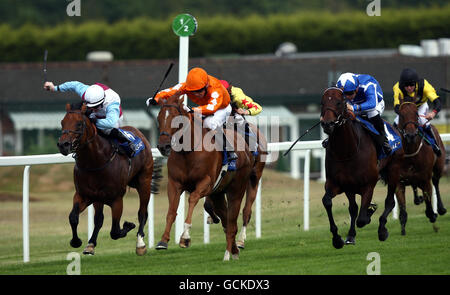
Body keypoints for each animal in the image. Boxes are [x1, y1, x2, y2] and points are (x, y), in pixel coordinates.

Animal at [57, 103, 160, 256]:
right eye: (62, 122)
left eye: (79, 124)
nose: (63, 145)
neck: (96, 161)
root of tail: (139, 133)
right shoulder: (85, 195)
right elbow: (74, 217)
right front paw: (77, 242)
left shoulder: (117, 199)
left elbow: (115, 231)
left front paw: (128, 225)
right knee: (99, 219)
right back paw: (91, 243)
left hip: (144, 182)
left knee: (142, 213)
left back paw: (140, 244)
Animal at [155, 95, 255, 262]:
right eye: (159, 118)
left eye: (176, 118)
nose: (163, 146)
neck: (188, 152)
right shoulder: (174, 184)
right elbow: (172, 210)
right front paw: (163, 240)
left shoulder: (206, 182)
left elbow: (193, 198)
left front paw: (185, 237)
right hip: (218, 194)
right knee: (227, 222)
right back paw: (234, 250)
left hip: (236, 190)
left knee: (232, 223)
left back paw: (228, 254)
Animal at [318, 88, 402, 250]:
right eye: (322, 103)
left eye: (339, 102)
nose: (327, 124)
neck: (347, 151)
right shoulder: (338, 184)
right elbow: (328, 202)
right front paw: (338, 238)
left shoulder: (368, 184)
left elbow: (362, 219)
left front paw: (370, 212)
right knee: (353, 208)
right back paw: (351, 235)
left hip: (394, 171)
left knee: (390, 201)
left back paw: (382, 230)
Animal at [376, 101, 446, 240]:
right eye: (401, 115)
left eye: (416, 114)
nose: (411, 135)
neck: (411, 153)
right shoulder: (399, 182)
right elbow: (403, 210)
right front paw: (402, 230)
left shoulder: (425, 180)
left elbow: (429, 203)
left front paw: (432, 215)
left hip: (439, 166)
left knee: (436, 182)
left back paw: (440, 209)